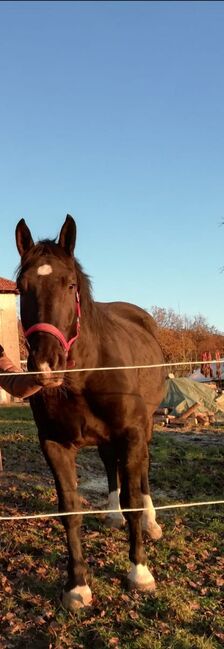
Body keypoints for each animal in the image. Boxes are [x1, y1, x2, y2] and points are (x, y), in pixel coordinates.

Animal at [15, 215, 164, 612]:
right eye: (21, 287)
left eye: (70, 284)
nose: (45, 365)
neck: (85, 374)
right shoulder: (54, 445)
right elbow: (70, 510)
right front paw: (78, 586)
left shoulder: (130, 433)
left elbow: (132, 500)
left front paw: (139, 572)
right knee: (111, 466)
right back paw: (112, 514)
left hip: (143, 429)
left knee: (142, 472)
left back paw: (151, 522)